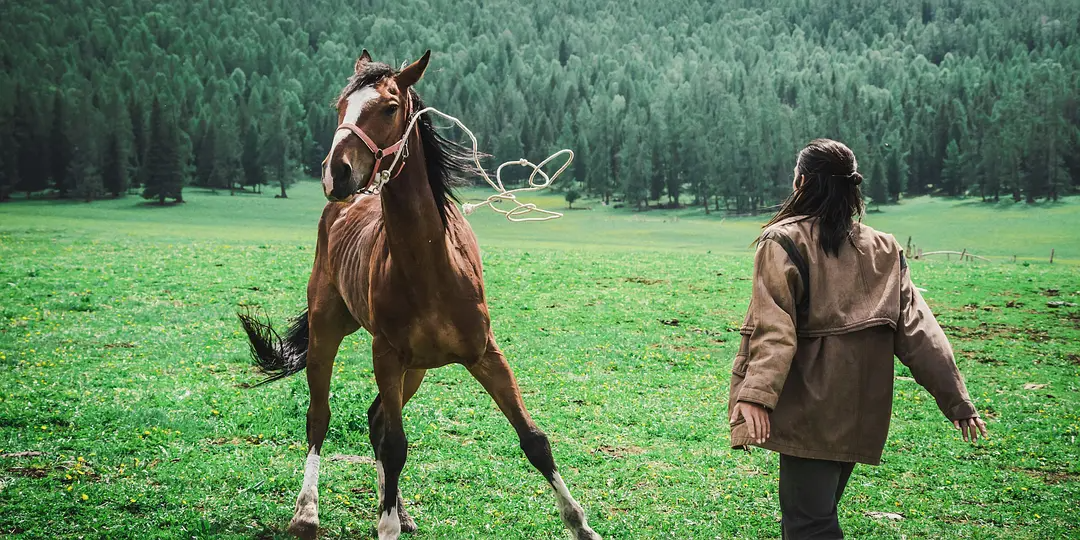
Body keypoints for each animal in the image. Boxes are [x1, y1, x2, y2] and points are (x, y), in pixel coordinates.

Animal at [237, 49, 604, 540]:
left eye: (390, 108)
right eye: (340, 107)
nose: (336, 172)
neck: (431, 264)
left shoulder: (485, 354)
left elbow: (534, 439)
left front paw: (581, 524)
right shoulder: (386, 355)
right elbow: (395, 445)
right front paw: (384, 524)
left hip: (416, 370)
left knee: (374, 418)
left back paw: (398, 508)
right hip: (328, 332)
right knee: (321, 417)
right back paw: (308, 512)